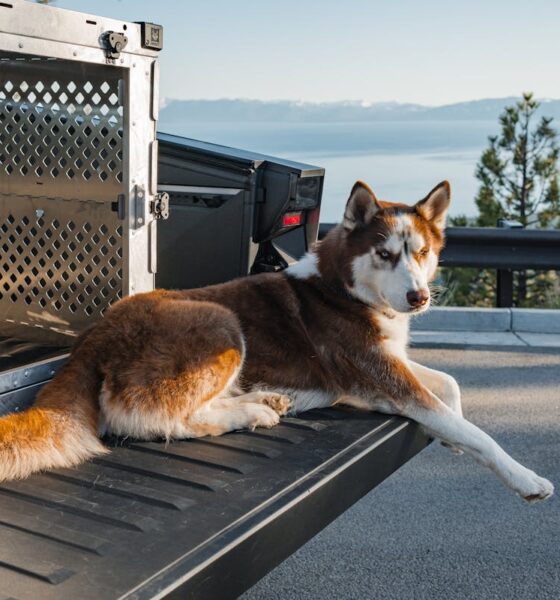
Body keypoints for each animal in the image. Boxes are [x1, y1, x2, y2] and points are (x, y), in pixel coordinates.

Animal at [0, 182, 552, 502]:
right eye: (384, 253)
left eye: (421, 252)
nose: (419, 298)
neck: (343, 287)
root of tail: (92, 338)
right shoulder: (384, 378)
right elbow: (477, 431)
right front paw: (526, 478)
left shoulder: (389, 365)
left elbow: (452, 387)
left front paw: (451, 436)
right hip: (221, 324)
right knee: (153, 418)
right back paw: (252, 412)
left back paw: (263, 400)